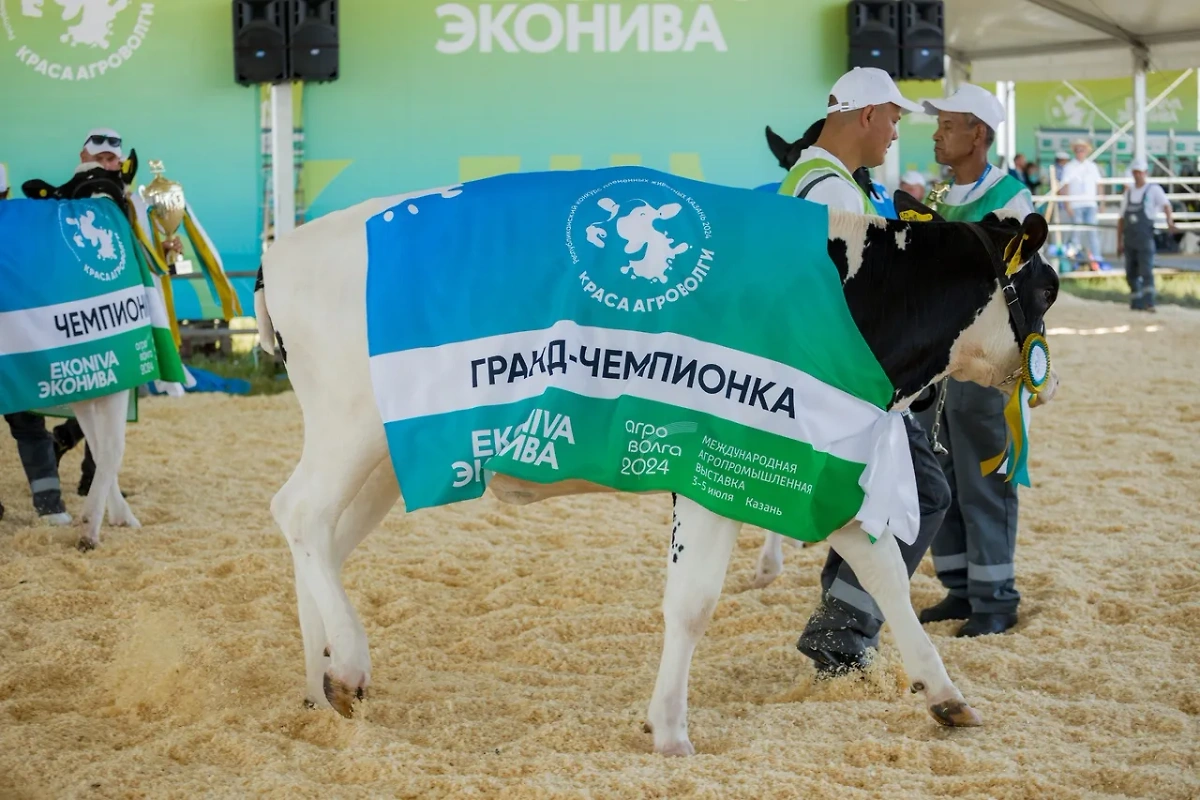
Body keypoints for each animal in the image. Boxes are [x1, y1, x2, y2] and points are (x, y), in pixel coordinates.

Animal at [255, 169, 1060, 758]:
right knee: (298, 513)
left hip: (390, 458)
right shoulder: (711, 462)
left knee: (319, 542)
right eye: (1047, 288)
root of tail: (284, 252)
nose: (1042, 382)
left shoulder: (815, 461)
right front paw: (670, 729)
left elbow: (885, 573)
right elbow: (693, 601)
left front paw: (946, 695)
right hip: (353, 424)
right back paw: (347, 664)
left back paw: (317, 688)